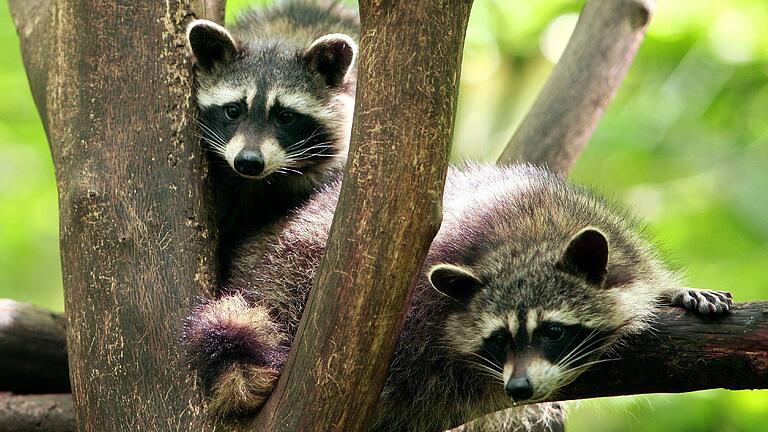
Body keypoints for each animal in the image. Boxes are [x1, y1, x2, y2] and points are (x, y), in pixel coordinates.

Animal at [182, 163, 732, 432]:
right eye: (498, 340)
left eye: (553, 331)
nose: (518, 388)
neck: (524, 239)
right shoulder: (416, 315)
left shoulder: (615, 239)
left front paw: (672, 291)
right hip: (290, 275)